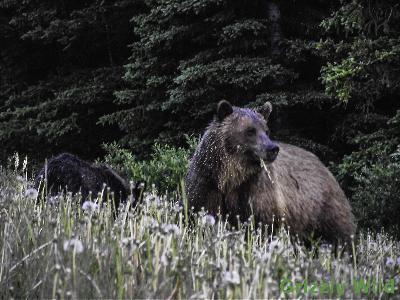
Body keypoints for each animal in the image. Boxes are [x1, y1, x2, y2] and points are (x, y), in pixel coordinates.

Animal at [185, 101, 356, 244]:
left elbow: (263, 225)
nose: (272, 148)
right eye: (250, 131)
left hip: (323, 208)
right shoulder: (207, 184)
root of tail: (324, 167)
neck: (230, 176)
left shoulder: (256, 192)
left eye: (266, 130)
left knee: (340, 235)